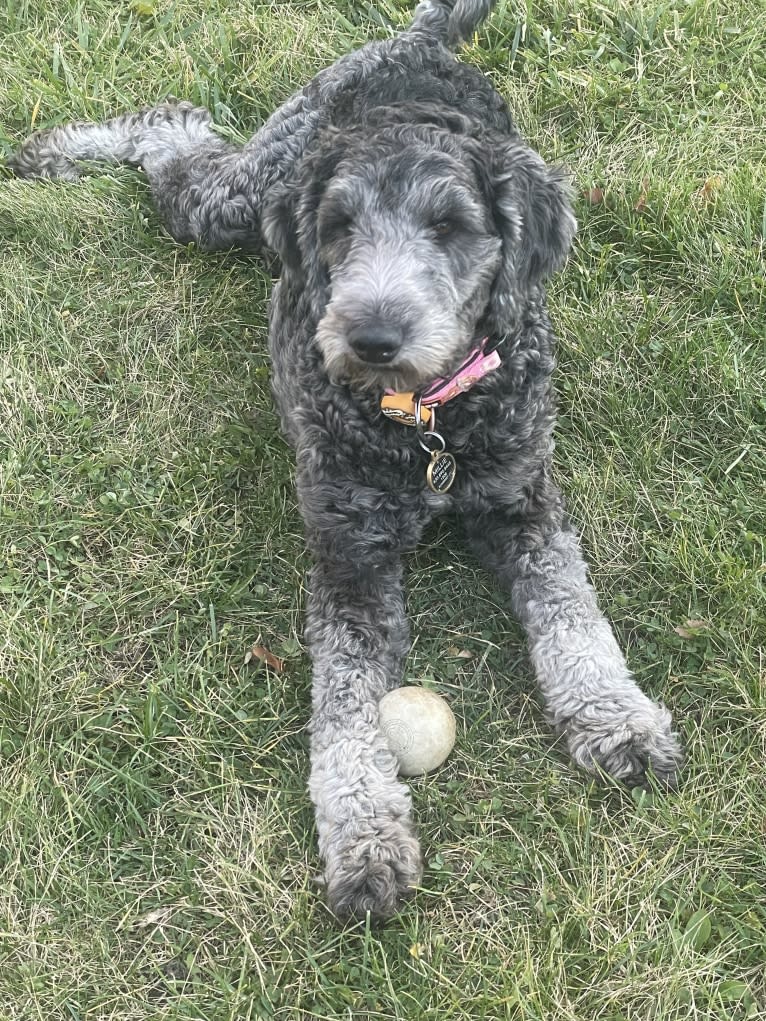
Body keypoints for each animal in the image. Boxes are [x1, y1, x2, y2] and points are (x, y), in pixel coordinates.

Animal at [10, 0, 682, 918]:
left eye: (450, 226)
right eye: (338, 227)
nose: (372, 337)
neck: (428, 426)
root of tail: (421, 38)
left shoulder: (525, 502)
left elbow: (574, 616)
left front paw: (617, 717)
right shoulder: (350, 557)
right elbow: (346, 708)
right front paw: (365, 839)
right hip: (234, 201)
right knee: (172, 133)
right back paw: (58, 150)